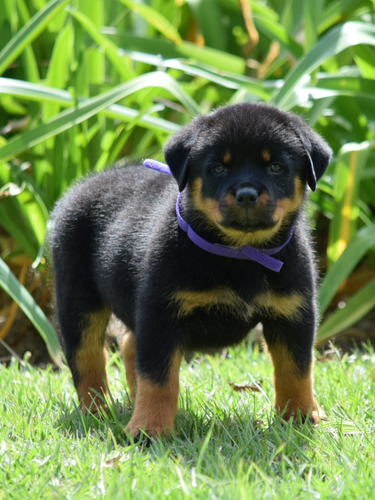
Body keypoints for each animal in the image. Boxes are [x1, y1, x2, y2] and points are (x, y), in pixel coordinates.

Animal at [50, 102, 332, 438]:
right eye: (218, 168)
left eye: (276, 167)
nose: (246, 194)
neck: (239, 254)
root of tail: (82, 187)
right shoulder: (161, 315)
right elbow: (158, 378)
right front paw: (150, 429)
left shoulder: (293, 313)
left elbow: (296, 369)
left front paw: (301, 416)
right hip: (78, 300)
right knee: (87, 358)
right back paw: (97, 412)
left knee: (129, 345)